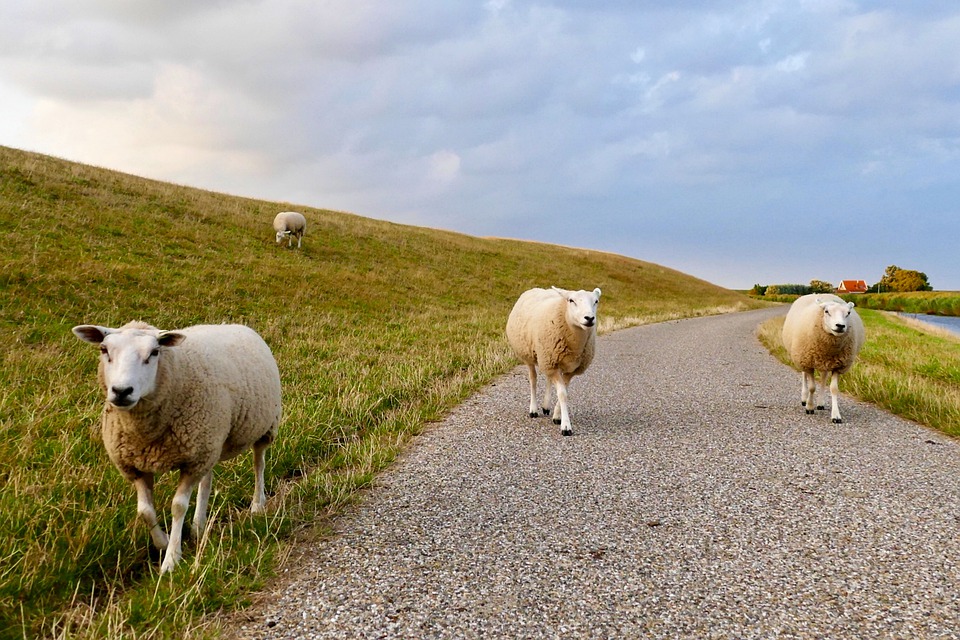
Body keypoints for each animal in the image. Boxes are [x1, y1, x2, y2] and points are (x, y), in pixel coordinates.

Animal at [71, 322, 282, 572]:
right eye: (104, 350)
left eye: (154, 353)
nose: (122, 391)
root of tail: (236, 325)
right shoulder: (136, 465)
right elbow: (145, 511)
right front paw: (162, 542)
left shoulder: (192, 462)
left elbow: (178, 506)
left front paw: (171, 559)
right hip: (210, 442)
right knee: (207, 480)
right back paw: (199, 525)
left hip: (263, 426)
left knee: (259, 463)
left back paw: (257, 504)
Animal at [502, 288, 600, 438]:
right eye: (571, 300)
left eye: (596, 301)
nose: (589, 318)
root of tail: (535, 288)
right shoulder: (551, 362)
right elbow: (562, 394)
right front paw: (566, 426)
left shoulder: (569, 369)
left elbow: (563, 392)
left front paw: (557, 416)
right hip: (530, 355)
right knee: (533, 379)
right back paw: (533, 409)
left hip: (548, 359)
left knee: (548, 379)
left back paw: (546, 406)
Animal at [784, 296, 868, 424]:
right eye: (826, 311)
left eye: (848, 313)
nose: (840, 326)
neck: (829, 349)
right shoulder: (808, 362)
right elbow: (812, 387)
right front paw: (809, 407)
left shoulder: (838, 366)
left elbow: (834, 389)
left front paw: (836, 415)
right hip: (802, 357)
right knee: (804, 376)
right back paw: (804, 398)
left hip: (825, 363)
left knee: (823, 378)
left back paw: (820, 403)